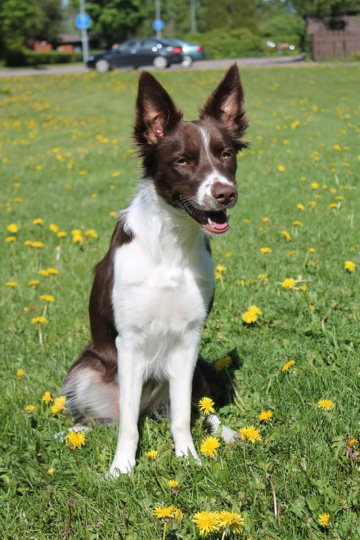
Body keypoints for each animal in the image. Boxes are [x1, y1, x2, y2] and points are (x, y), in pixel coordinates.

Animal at [62, 64, 248, 476]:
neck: (171, 246)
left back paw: (226, 433)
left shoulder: (189, 339)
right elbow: (128, 423)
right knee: (110, 416)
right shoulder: (129, 343)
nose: (226, 193)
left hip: (199, 367)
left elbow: (182, 415)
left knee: (198, 408)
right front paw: (120, 470)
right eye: (183, 161)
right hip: (85, 368)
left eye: (226, 154)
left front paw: (189, 457)